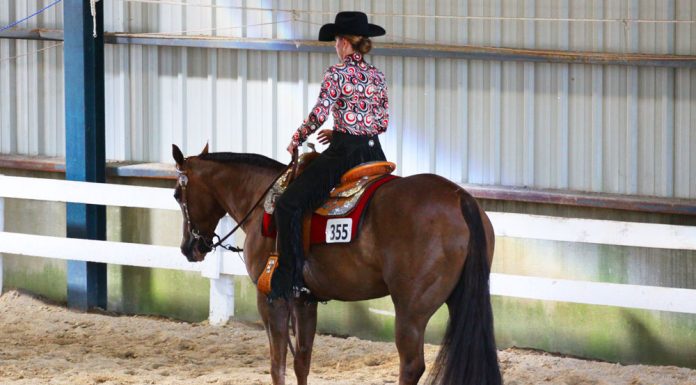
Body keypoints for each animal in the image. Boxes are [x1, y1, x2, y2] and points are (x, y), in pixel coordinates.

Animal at [173, 142, 500, 382]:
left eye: (177, 194)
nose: (189, 247)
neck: (263, 202)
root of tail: (459, 198)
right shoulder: (304, 300)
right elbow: (302, 361)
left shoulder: (270, 298)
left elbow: (277, 364)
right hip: (459, 298)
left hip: (411, 310)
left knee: (411, 365)